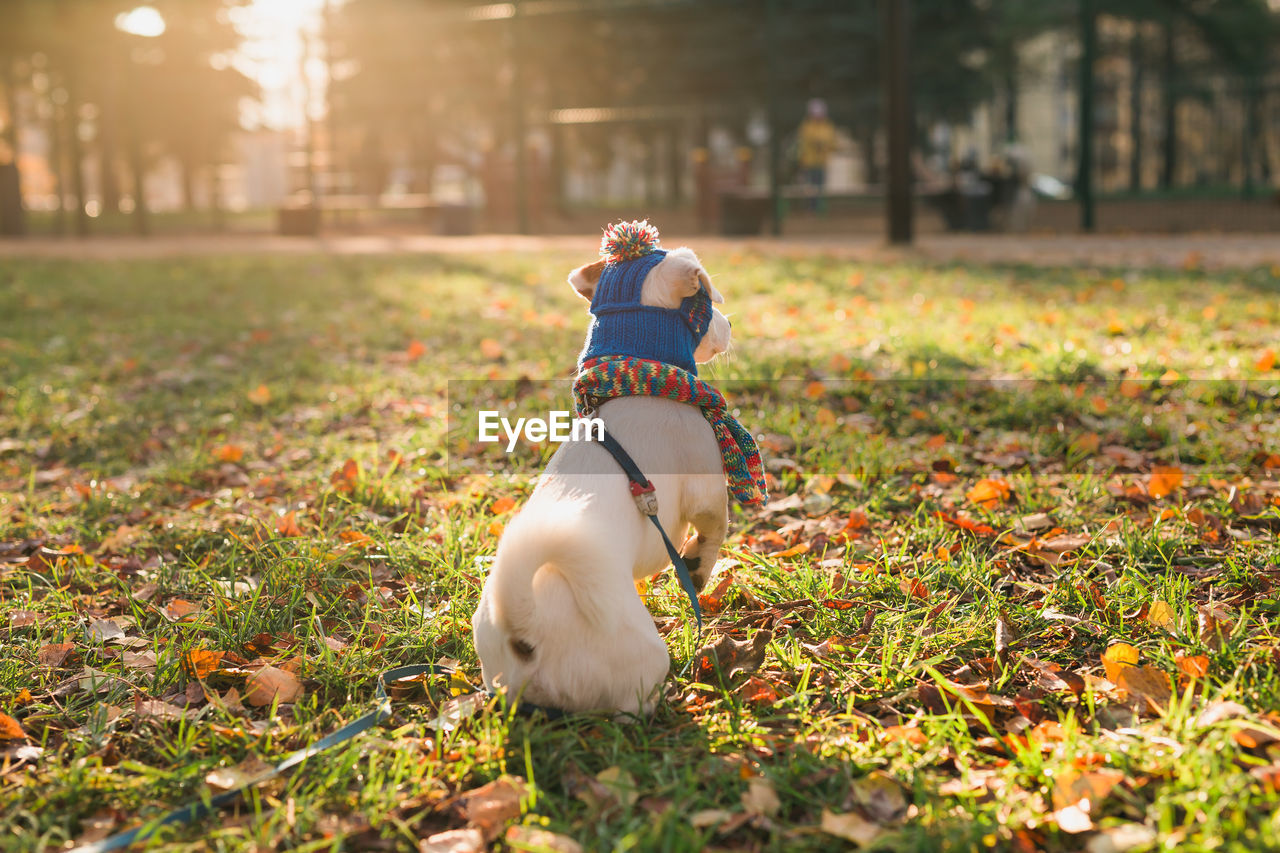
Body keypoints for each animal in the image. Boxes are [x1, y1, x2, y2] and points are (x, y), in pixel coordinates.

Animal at [471, 244, 732, 712]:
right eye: (705, 303)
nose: (732, 324)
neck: (640, 381)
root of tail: (526, 630)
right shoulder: (706, 486)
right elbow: (714, 532)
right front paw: (697, 568)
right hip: (641, 660)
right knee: (632, 708)